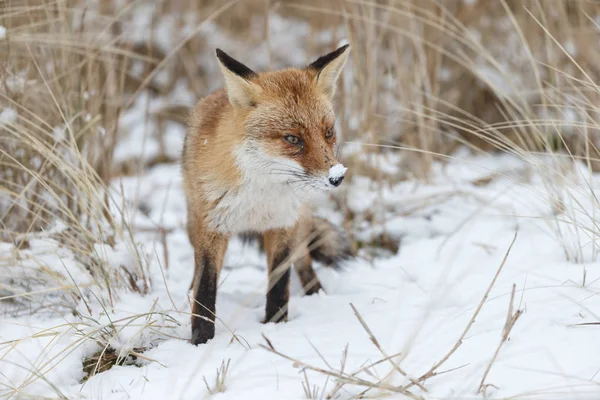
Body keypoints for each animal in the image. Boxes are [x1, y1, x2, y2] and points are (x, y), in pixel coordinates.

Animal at [183, 43, 352, 344]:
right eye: (293, 139)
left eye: (329, 132)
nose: (337, 177)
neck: (259, 198)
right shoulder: (213, 227)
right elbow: (205, 290)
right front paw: (201, 340)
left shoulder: (283, 225)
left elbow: (279, 283)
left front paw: (276, 325)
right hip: (193, 223)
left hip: (300, 225)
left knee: (305, 263)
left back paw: (317, 294)